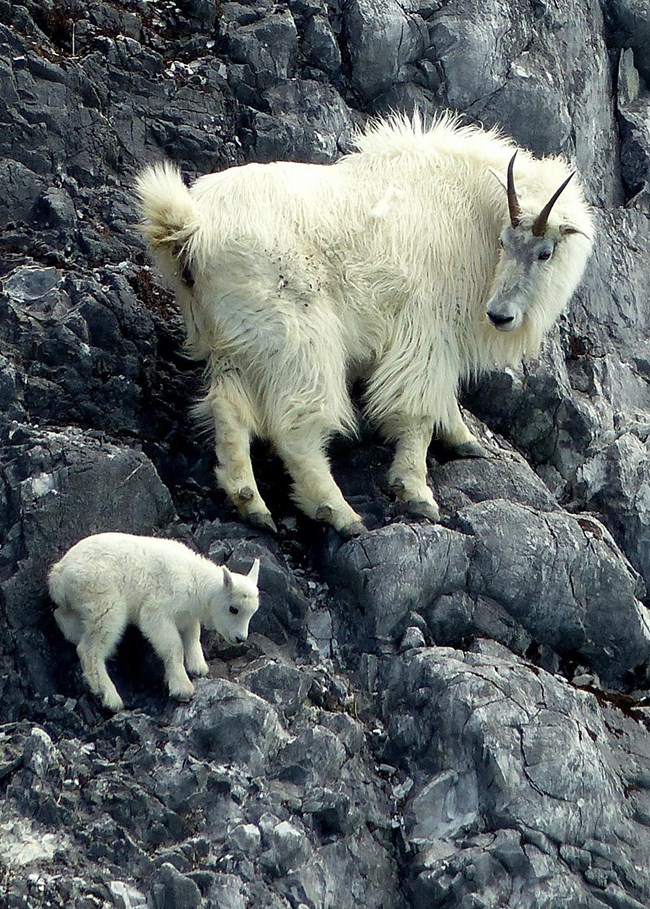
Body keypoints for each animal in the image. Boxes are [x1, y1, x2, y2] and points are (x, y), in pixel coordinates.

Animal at [49, 532, 260, 708]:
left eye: (252, 612)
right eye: (234, 609)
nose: (240, 638)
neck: (196, 582)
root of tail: (58, 575)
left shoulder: (187, 615)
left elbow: (192, 636)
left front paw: (198, 667)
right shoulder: (158, 610)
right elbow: (173, 645)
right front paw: (182, 687)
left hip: (83, 603)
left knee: (65, 619)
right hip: (105, 601)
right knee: (90, 649)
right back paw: (109, 696)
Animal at [135, 114, 592, 540]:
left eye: (545, 252)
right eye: (504, 242)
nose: (500, 315)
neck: (468, 211)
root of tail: (191, 228)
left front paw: (464, 439)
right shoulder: (425, 329)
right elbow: (418, 412)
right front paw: (416, 492)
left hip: (231, 342)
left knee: (228, 409)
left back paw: (251, 504)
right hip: (299, 339)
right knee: (296, 428)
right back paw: (338, 513)